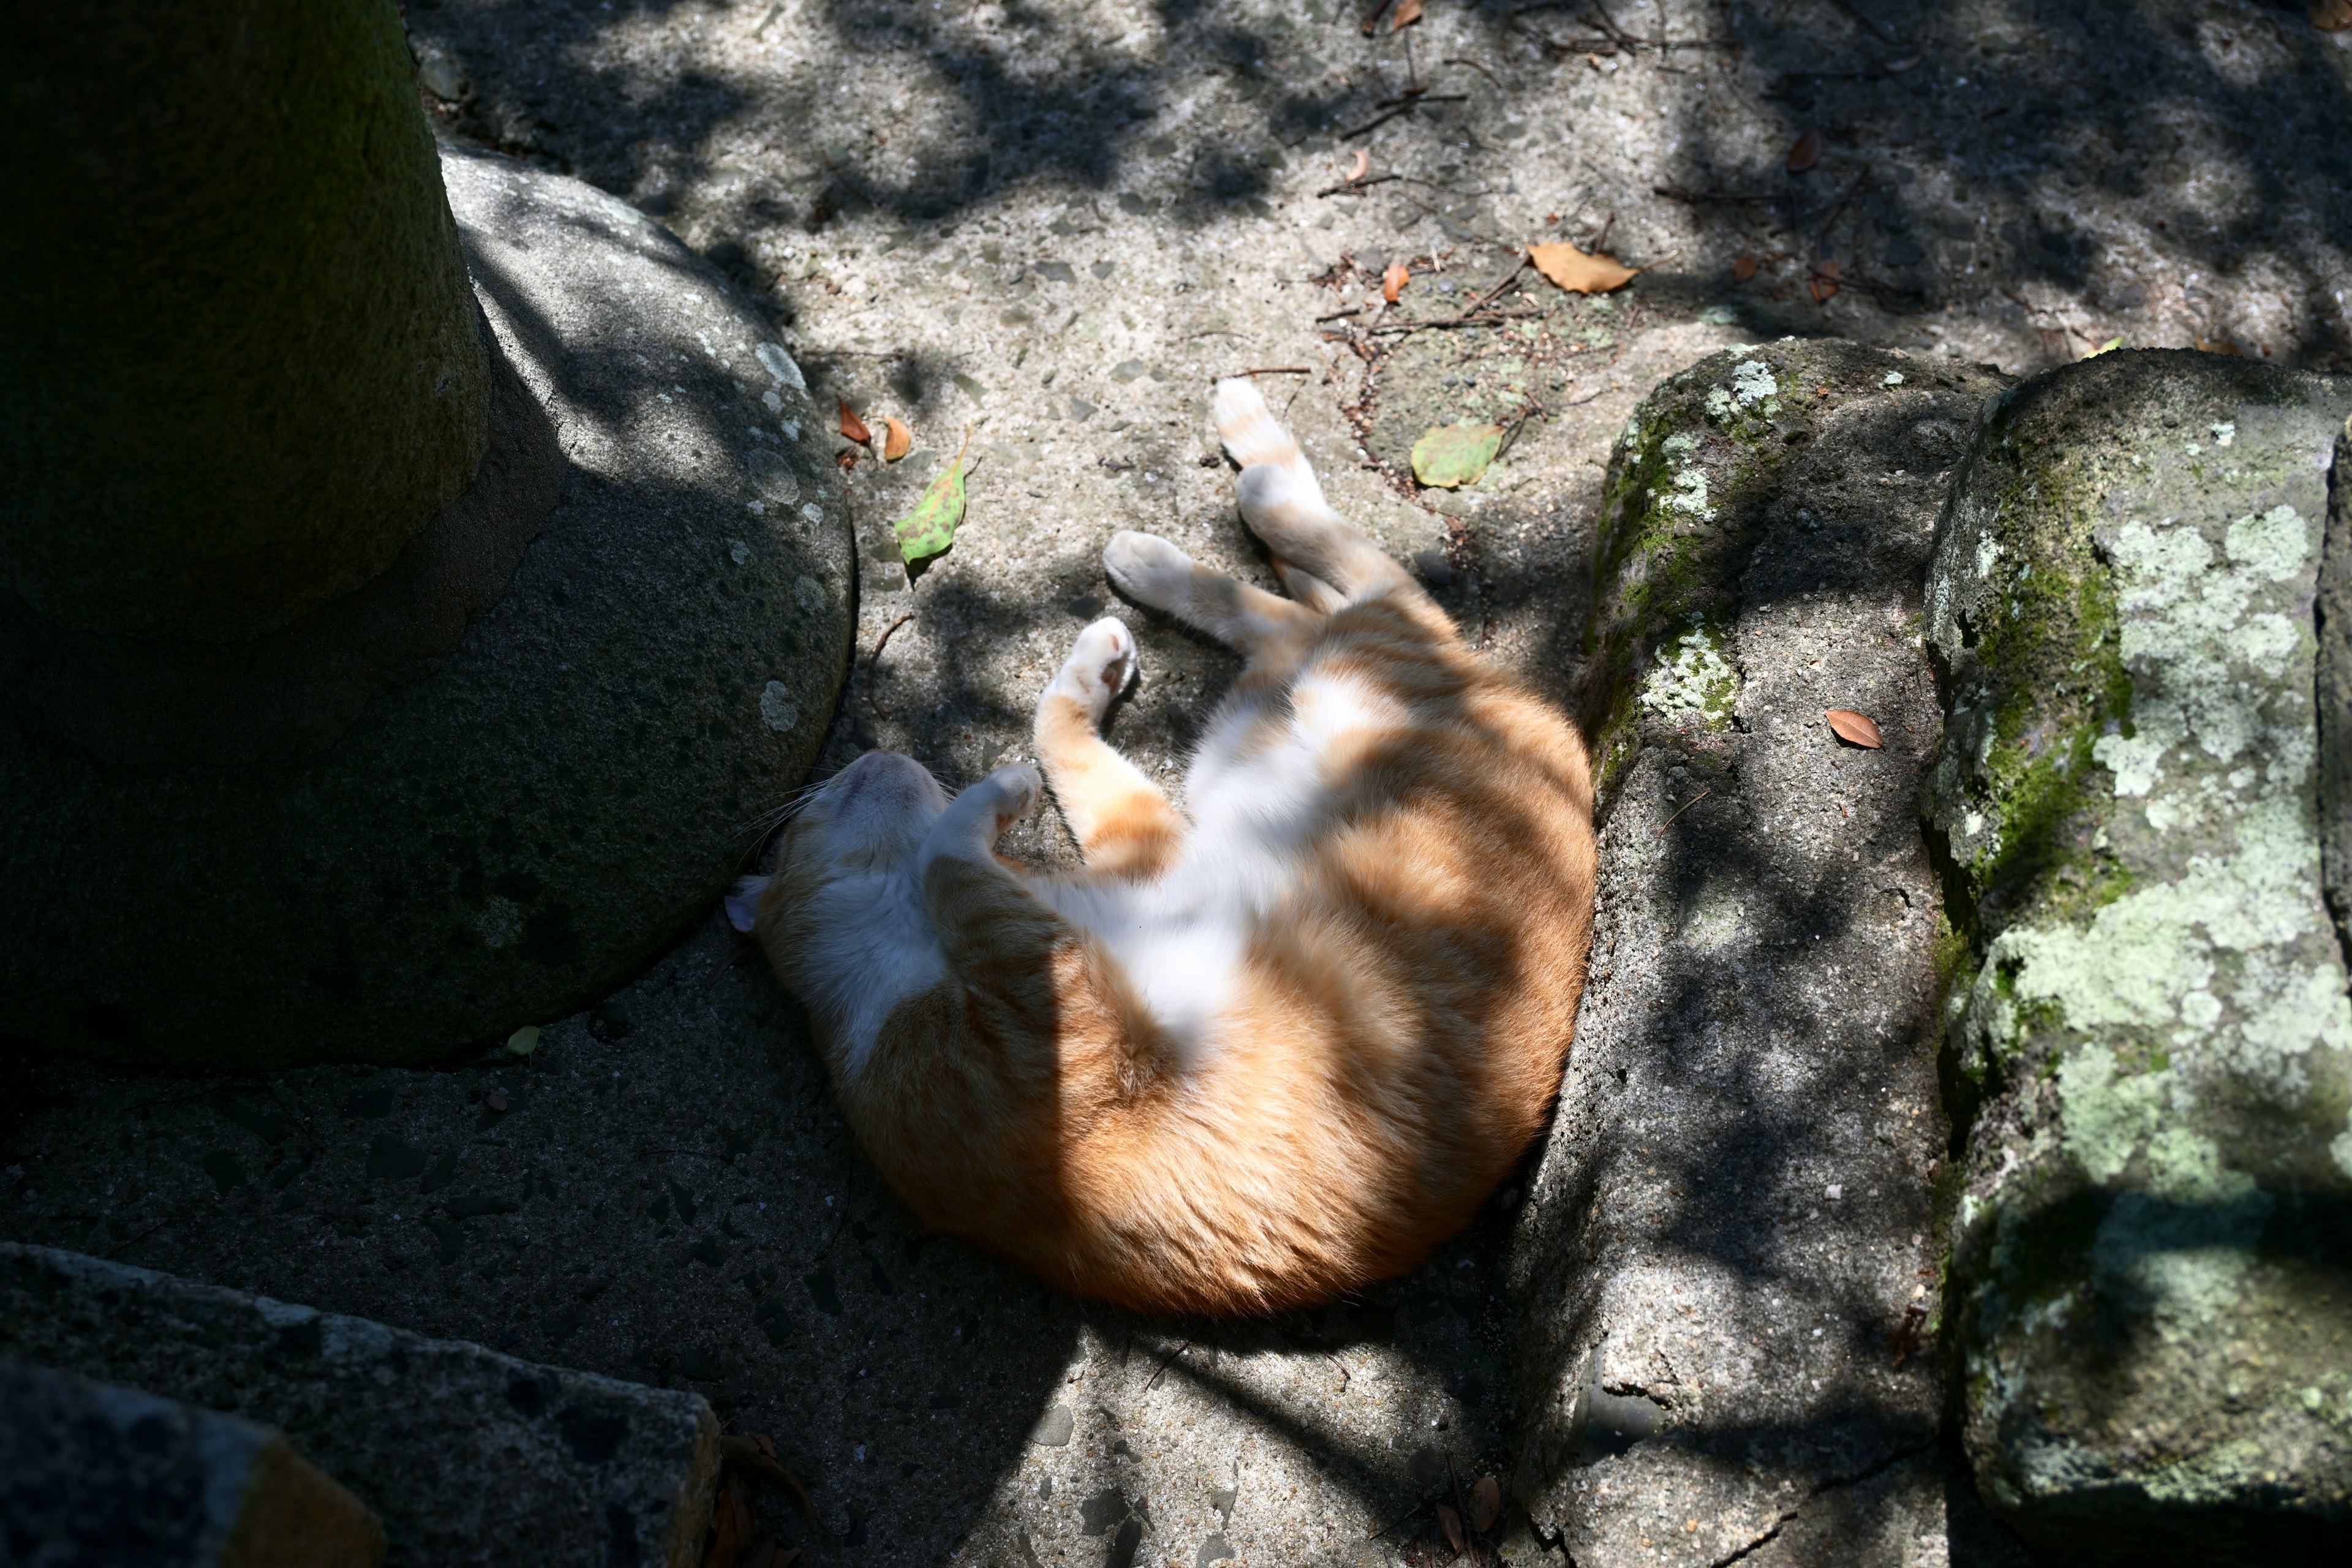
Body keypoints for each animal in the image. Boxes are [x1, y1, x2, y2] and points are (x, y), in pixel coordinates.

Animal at [734, 385, 1599, 1316]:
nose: (873, 756)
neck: (906, 951)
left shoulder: (1138, 857)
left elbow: (1051, 747)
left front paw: (1072, 696)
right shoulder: (1052, 1012)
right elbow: (950, 854)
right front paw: (990, 794)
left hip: (1296, 712)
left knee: (1341, 596)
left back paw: (1208, 499)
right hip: (1292, 717)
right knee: (1344, 599)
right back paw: (1222, 506)